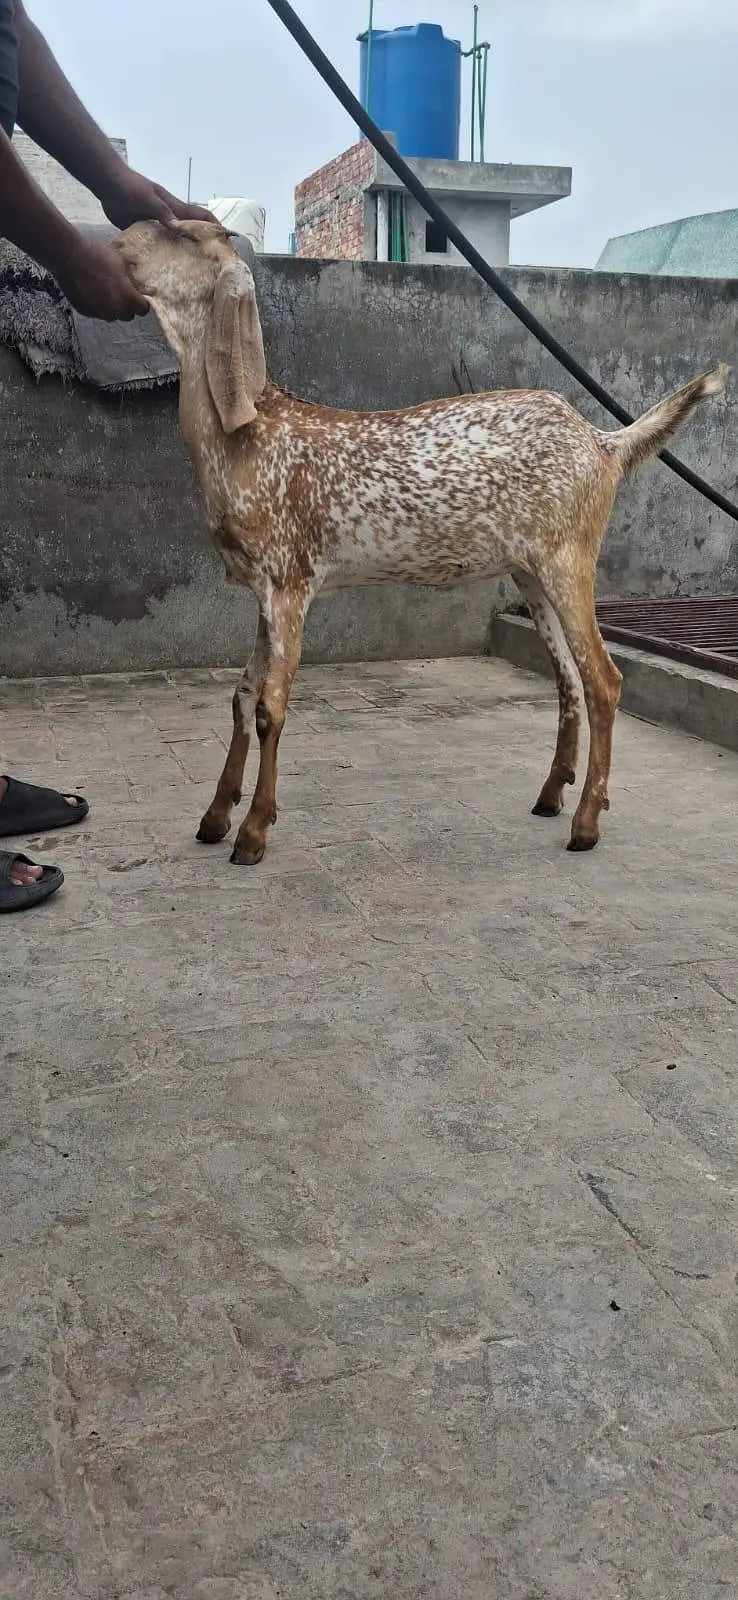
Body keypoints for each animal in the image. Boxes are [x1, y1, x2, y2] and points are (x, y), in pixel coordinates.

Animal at [117, 219, 729, 865]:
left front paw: (254, 831)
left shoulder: (290, 582)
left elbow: (269, 707)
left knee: (603, 681)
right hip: (531, 572)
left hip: (569, 561)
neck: (250, 434)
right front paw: (215, 816)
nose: (120, 240)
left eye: (181, 233)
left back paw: (586, 823)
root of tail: (603, 443)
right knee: (567, 678)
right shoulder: (264, 589)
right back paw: (551, 795)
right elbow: (240, 695)